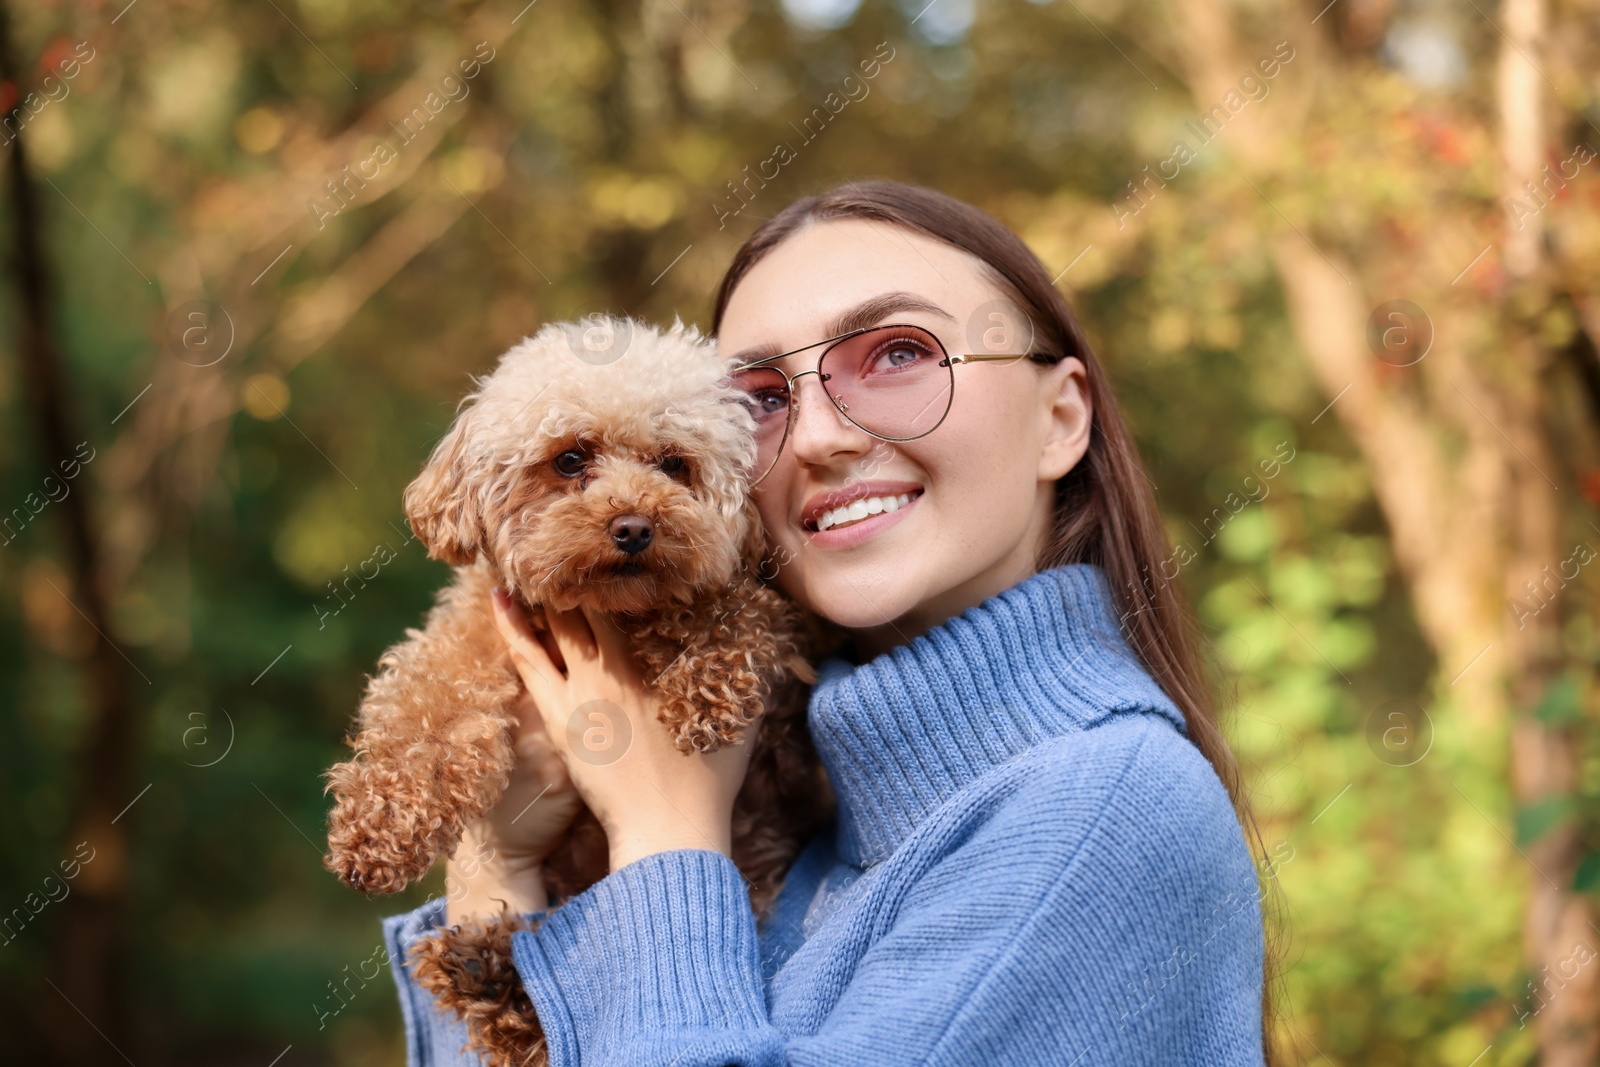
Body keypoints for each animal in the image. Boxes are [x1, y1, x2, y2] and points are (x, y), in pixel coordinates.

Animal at [320, 316, 832, 1067]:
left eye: (673, 464)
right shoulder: (470, 633)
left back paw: (492, 979)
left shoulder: (765, 616)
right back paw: (484, 974)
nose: (634, 527)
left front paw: (705, 685)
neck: (604, 611)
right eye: (569, 459)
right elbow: (423, 711)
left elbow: (732, 609)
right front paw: (377, 828)